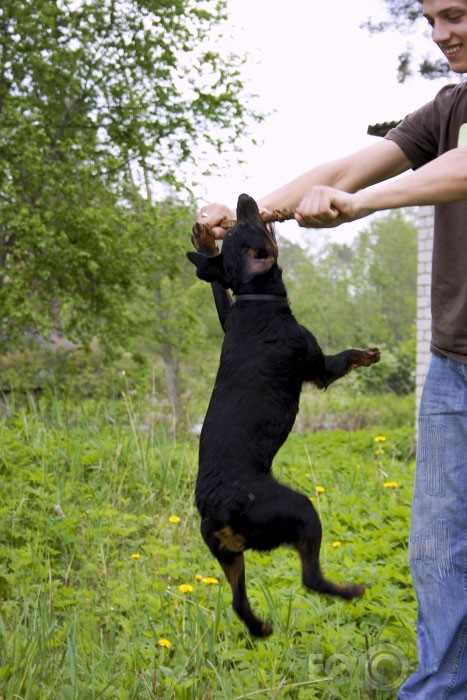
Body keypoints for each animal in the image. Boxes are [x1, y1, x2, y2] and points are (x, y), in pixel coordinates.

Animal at [186, 193, 380, 636]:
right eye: (254, 223)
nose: (243, 198)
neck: (258, 301)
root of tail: (217, 511)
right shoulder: (319, 366)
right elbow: (344, 358)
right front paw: (366, 354)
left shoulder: (228, 313)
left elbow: (218, 286)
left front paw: (204, 240)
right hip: (300, 512)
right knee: (310, 578)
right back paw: (351, 591)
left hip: (227, 555)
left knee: (238, 602)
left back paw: (260, 628)